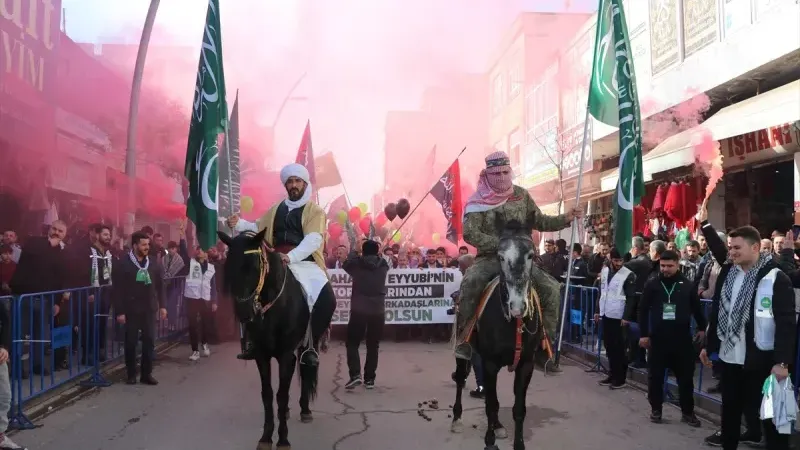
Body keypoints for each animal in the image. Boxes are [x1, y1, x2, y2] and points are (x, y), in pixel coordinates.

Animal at [220, 230, 320, 448]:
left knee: (306, 371)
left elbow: (281, 395)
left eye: (254, 266)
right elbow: (267, 394)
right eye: (228, 265)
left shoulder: (286, 356)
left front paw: (283, 439)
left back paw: (305, 410)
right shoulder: (262, 355)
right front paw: (266, 437)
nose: (244, 312)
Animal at [450, 217, 552, 450]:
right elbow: (492, 404)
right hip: (463, 349)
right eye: (500, 256)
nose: (517, 306)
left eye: (531, 255)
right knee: (460, 379)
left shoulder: (525, 365)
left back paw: (497, 426)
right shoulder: (490, 364)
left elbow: (518, 408)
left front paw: (518, 443)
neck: (513, 323)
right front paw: (489, 442)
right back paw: (457, 419)